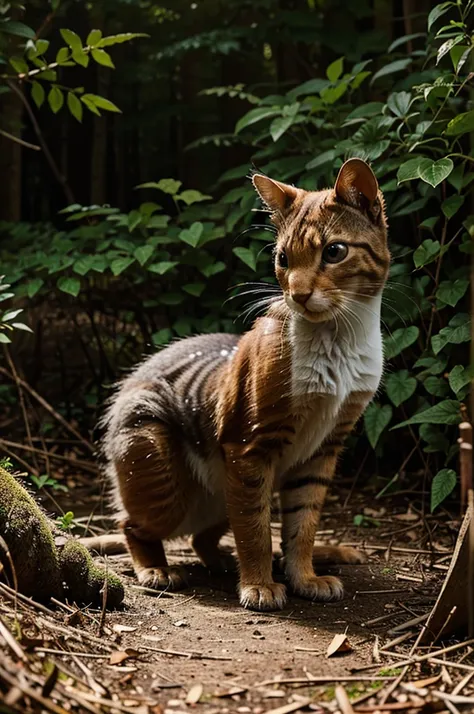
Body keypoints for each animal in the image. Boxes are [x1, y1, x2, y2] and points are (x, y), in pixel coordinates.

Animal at [103, 159, 388, 608]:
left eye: (335, 252)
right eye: (283, 258)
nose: (298, 295)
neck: (338, 338)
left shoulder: (324, 448)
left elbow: (303, 523)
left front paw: (305, 577)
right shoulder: (249, 444)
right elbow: (255, 528)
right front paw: (258, 585)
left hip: (220, 493)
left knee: (205, 536)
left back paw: (223, 561)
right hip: (163, 476)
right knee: (132, 524)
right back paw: (156, 570)